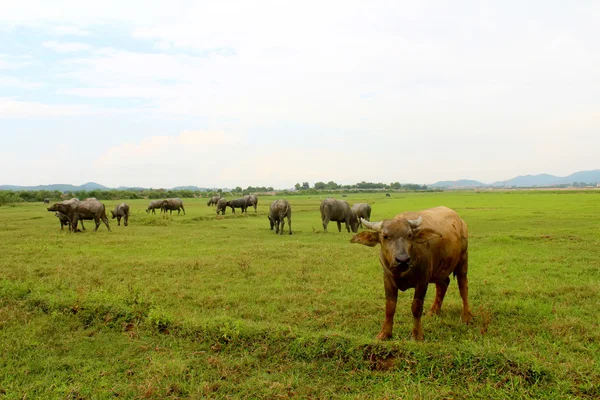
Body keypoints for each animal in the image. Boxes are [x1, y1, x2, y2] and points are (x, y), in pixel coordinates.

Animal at [350, 206, 472, 340]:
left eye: (409, 235)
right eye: (385, 236)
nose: (402, 260)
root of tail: (461, 222)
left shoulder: (422, 281)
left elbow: (416, 307)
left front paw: (417, 335)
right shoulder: (387, 279)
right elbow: (390, 307)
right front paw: (384, 333)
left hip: (463, 260)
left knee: (463, 288)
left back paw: (467, 317)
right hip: (440, 269)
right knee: (443, 284)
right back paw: (434, 311)